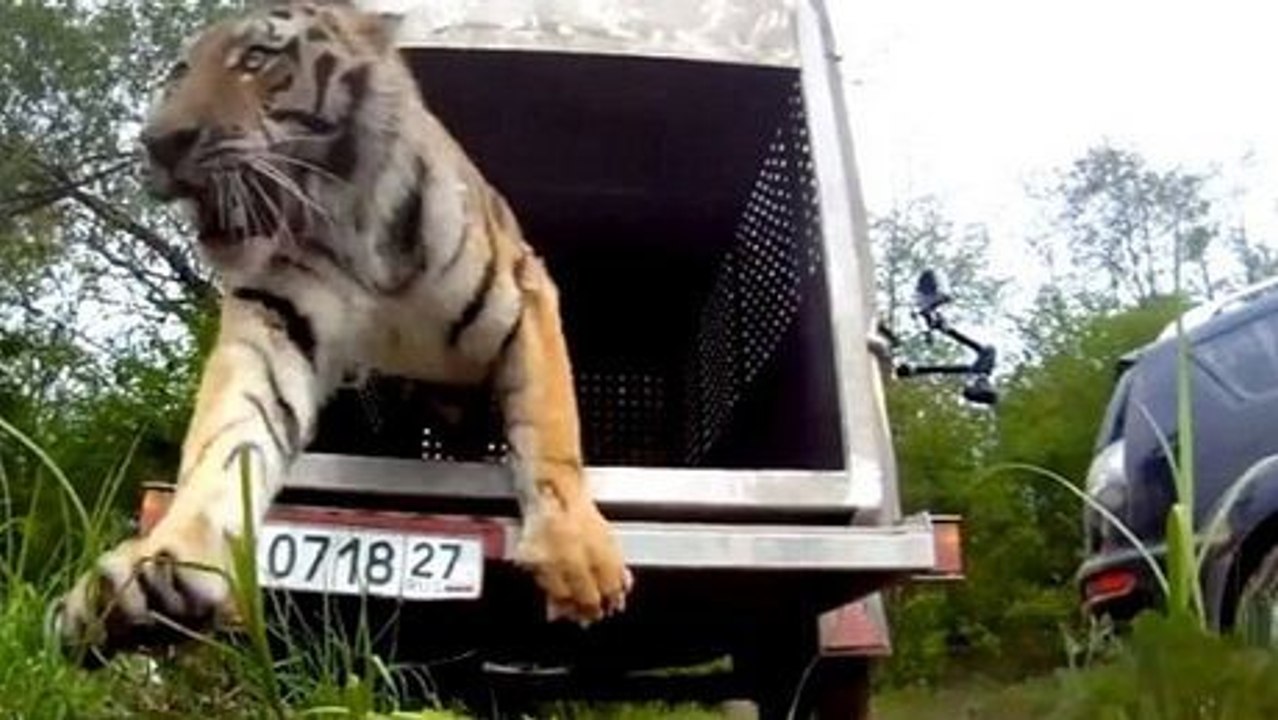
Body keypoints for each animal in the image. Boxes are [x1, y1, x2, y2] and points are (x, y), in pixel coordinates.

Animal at [53, 0, 633, 658]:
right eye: (178, 73)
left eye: (256, 58)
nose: (159, 143)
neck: (351, 220)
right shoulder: (277, 321)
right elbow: (230, 438)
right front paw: (163, 569)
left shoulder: (522, 290)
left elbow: (550, 422)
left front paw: (578, 557)